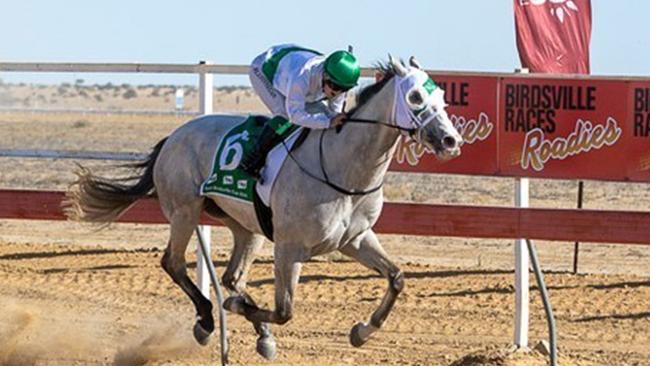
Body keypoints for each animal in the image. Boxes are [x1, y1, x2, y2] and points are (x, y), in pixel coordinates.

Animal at [63, 55, 460, 358]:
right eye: (414, 97)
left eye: (441, 94)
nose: (451, 139)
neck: (342, 168)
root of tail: (174, 135)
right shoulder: (289, 248)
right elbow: (285, 311)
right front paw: (237, 309)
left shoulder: (355, 239)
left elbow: (396, 277)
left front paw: (362, 330)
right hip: (185, 210)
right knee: (174, 263)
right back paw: (208, 319)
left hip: (245, 225)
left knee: (231, 276)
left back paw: (256, 331)